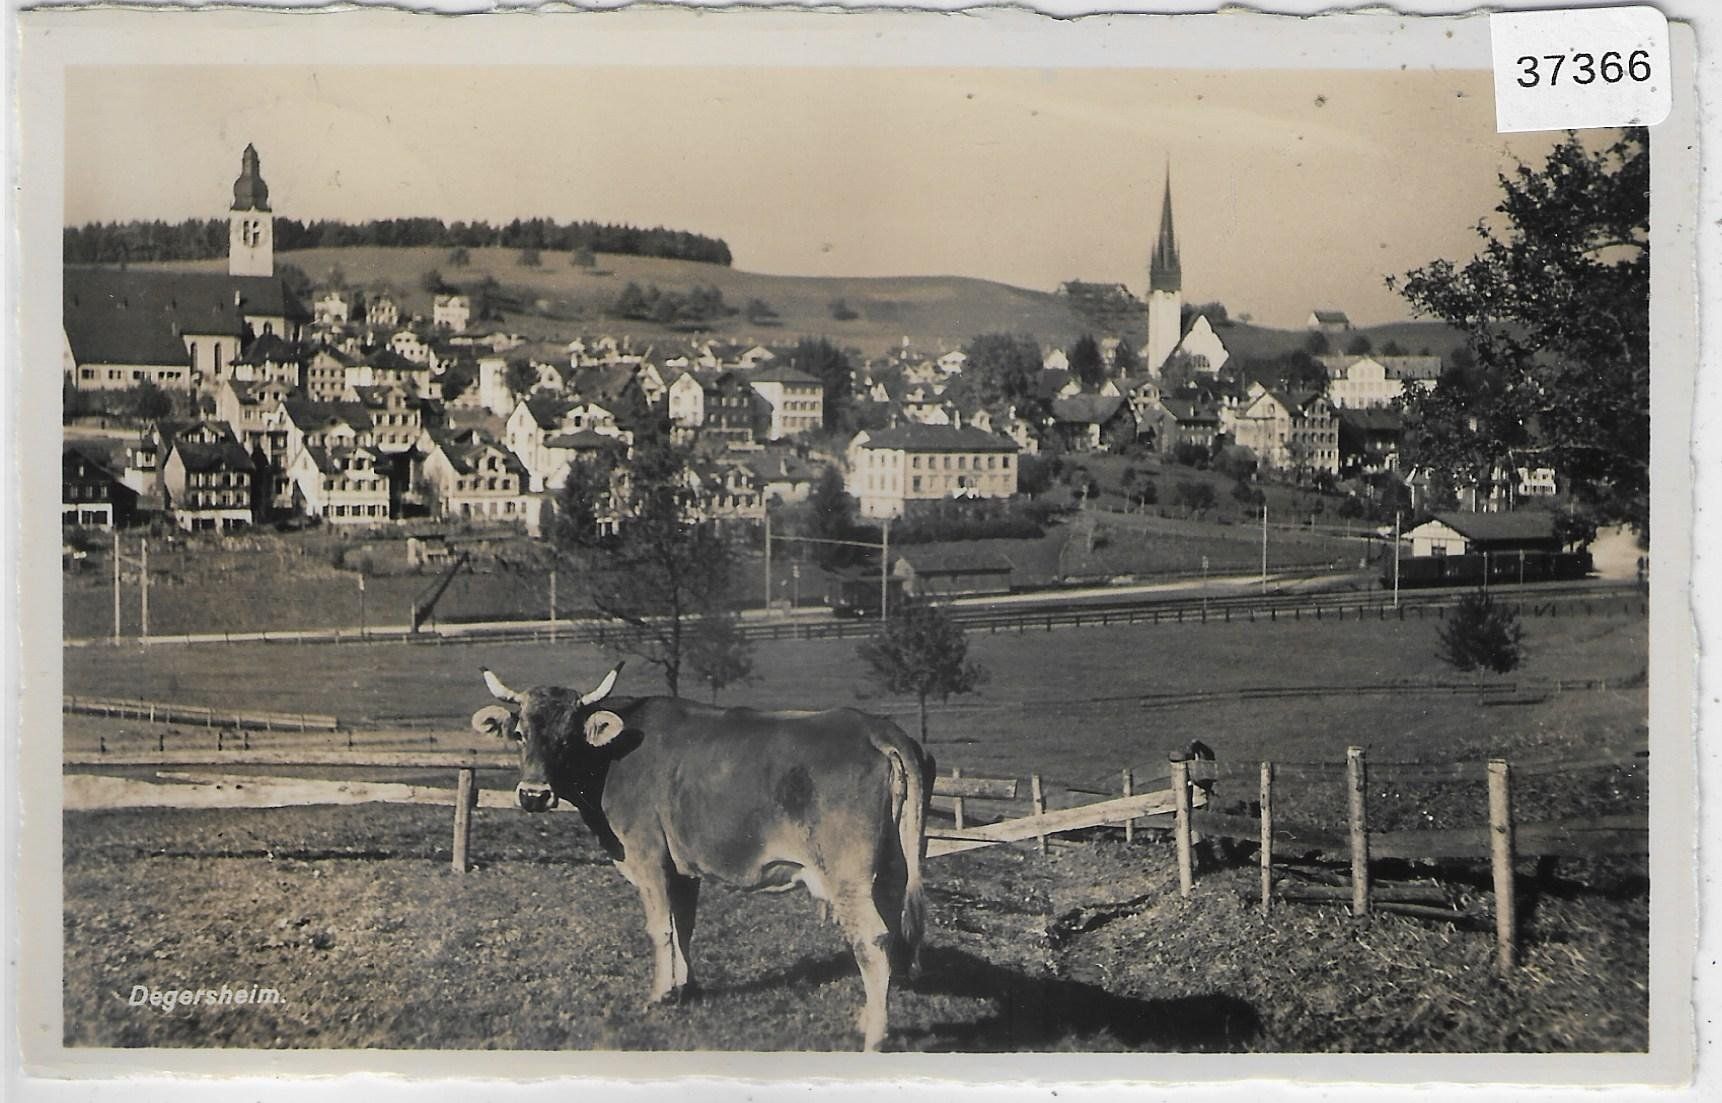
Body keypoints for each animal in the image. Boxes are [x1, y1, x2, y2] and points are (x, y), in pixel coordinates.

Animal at [471, 663, 933, 1052]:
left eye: (568, 737)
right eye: (519, 733)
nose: (533, 795)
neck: (613, 757)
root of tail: (874, 727)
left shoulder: (647, 857)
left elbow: (660, 929)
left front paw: (660, 993)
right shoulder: (682, 867)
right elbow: (685, 925)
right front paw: (686, 987)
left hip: (848, 875)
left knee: (871, 939)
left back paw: (875, 1036)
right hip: (892, 868)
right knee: (893, 930)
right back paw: (869, 1016)